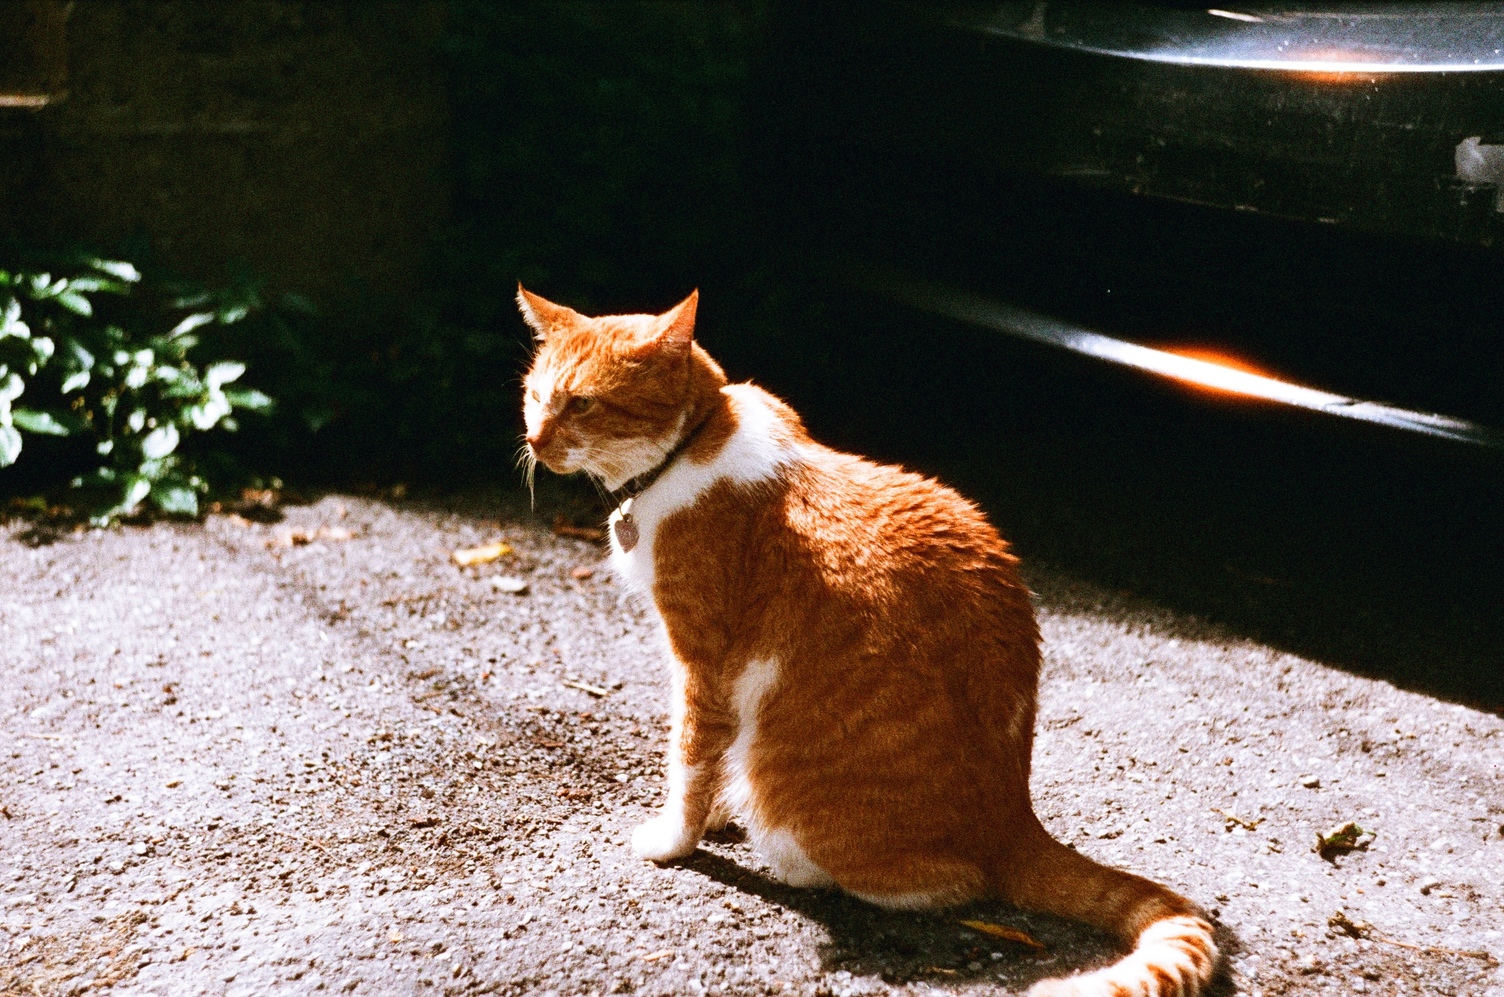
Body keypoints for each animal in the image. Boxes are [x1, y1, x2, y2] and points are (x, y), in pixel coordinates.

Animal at [517, 284, 1221, 992]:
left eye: (581, 404)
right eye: (535, 394)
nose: (533, 439)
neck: (691, 446)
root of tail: (1014, 818)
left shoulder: (704, 662)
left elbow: (689, 757)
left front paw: (674, 838)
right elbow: (705, 759)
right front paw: (709, 811)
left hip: (793, 796)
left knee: (948, 885)